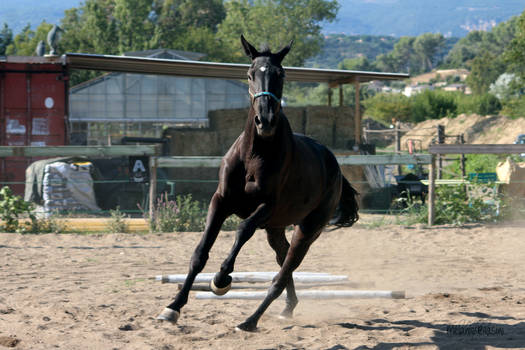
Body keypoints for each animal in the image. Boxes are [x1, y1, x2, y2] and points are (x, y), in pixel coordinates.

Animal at [156, 34, 358, 330]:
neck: (254, 154)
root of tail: (335, 167)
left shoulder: (265, 207)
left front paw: (221, 280)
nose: (266, 121)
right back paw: (287, 307)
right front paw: (173, 307)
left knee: (282, 273)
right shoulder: (220, 201)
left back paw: (250, 321)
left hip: (308, 229)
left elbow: (242, 230)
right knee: (282, 262)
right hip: (276, 229)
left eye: (281, 74)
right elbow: (200, 253)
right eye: (250, 74)